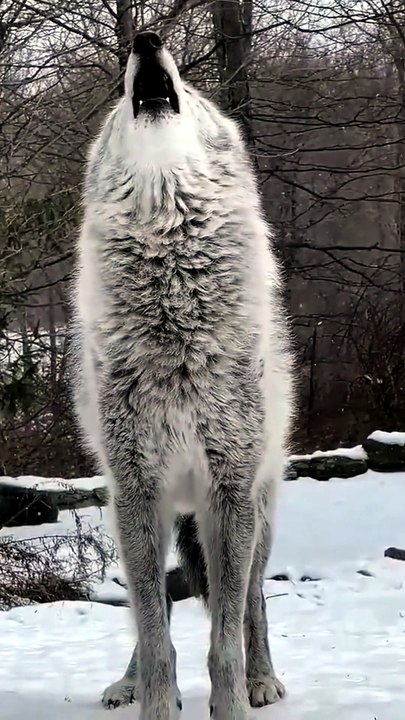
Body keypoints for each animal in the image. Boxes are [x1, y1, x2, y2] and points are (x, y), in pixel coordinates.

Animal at [71, 30, 294, 720]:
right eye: (120, 92)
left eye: (191, 91)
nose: (144, 41)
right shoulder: (138, 492)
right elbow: (156, 635)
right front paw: (156, 704)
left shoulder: (230, 491)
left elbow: (224, 640)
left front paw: (235, 702)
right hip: (154, 516)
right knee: (157, 616)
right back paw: (127, 683)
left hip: (259, 516)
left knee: (254, 604)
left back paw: (263, 680)